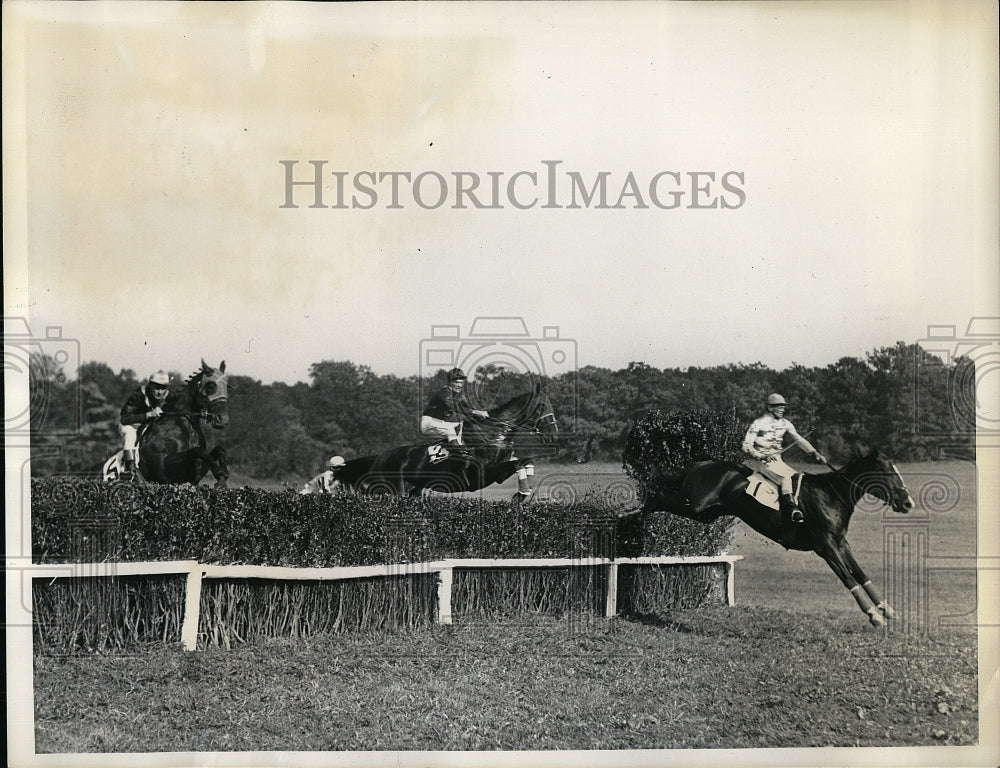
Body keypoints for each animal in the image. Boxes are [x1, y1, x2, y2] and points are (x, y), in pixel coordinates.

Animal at [104, 358, 231, 486]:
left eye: (227, 386)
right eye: (210, 385)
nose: (223, 419)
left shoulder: (195, 476)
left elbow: (218, 450)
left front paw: (222, 477)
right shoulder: (165, 473)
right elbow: (196, 450)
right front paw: (220, 473)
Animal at [346, 382, 560, 500]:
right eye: (542, 406)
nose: (554, 434)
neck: (493, 434)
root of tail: (378, 457)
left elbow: (525, 462)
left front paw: (525, 493)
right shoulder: (484, 473)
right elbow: (518, 463)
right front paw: (522, 495)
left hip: (414, 490)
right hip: (392, 488)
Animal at [640, 448, 916, 628]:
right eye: (889, 474)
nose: (908, 503)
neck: (832, 495)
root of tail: (700, 464)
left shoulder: (840, 543)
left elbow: (860, 573)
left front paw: (888, 610)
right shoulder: (825, 545)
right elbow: (848, 578)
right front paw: (874, 615)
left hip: (705, 513)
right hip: (694, 504)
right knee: (656, 497)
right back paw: (634, 508)